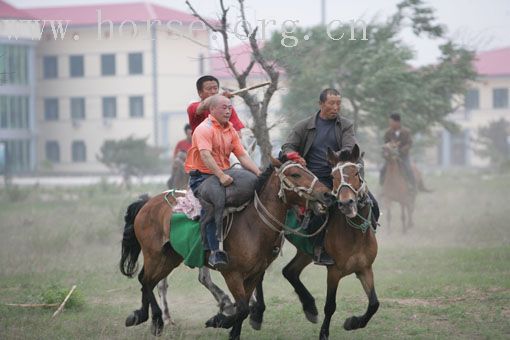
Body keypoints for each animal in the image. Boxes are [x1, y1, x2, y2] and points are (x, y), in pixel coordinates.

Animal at [119, 158, 334, 338]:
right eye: (295, 174)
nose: (327, 194)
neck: (252, 225)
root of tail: (147, 203)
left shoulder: (254, 274)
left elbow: (243, 307)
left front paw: (231, 329)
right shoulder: (232, 274)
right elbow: (242, 308)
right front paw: (219, 319)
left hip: (169, 258)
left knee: (146, 280)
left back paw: (142, 316)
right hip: (154, 255)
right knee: (147, 281)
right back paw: (155, 320)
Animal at [249, 145, 380, 338]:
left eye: (356, 173)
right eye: (333, 176)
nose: (346, 203)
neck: (355, 234)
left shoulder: (365, 269)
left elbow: (374, 304)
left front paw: (352, 322)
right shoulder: (334, 272)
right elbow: (330, 306)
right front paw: (324, 333)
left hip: (305, 252)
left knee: (290, 271)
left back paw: (310, 307)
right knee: (260, 275)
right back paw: (258, 314)